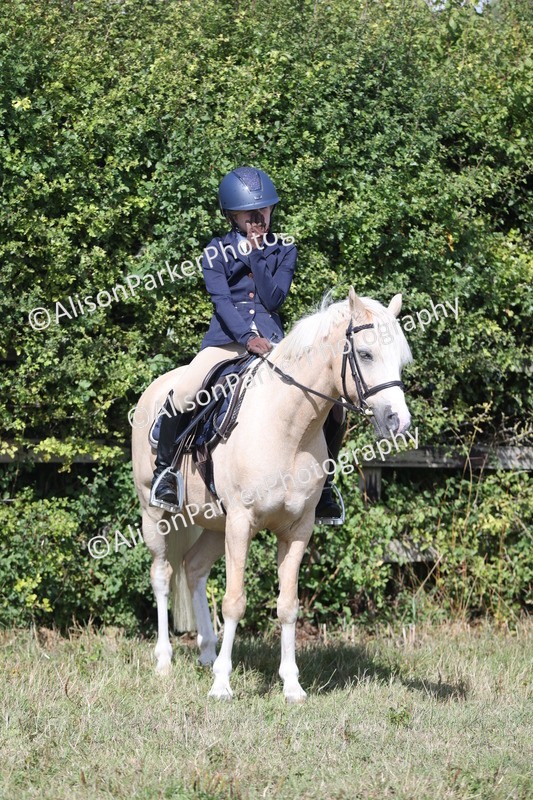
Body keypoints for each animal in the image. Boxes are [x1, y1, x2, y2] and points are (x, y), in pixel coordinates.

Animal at [131, 287, 412, 702]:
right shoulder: (241, 523)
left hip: (214, 524)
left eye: (401, 360)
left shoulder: (297, 530)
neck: (287, 426)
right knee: (162, 576)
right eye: (365, 354)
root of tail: (154, 388)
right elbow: (234, 602)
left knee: (194, 568)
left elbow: (288, 606)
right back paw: (165, 661)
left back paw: (207, 652)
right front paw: (222, 685)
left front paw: (292, 685)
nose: (399, 421)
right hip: (156, 517)